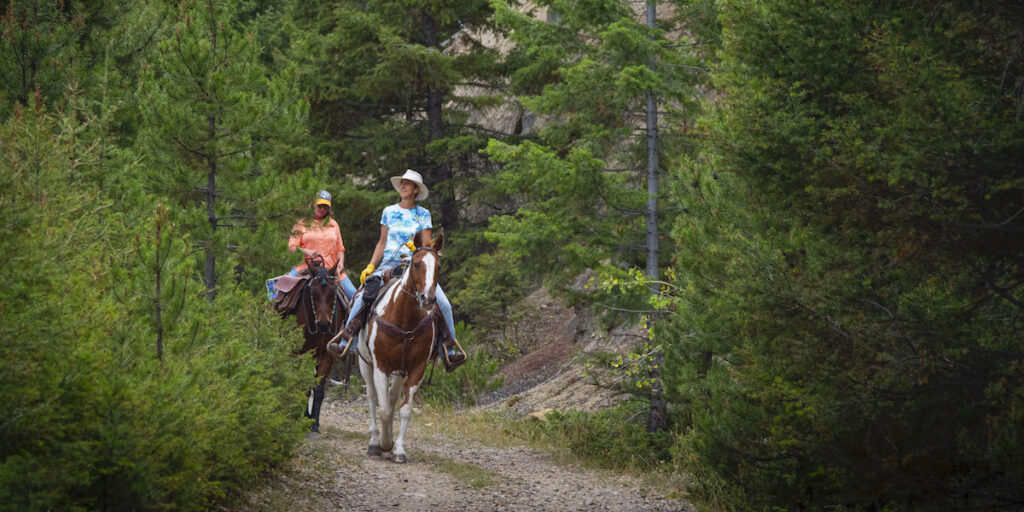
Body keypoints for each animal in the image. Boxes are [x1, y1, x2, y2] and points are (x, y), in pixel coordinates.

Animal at [288, 260, 352, 432]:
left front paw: (314, 423)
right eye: (313, 292)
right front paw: (304, 418)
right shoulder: (301, 353)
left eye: (333, 292)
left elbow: (318, 389)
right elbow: (303, 385)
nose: (324, 324)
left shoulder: (326, 354)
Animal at [356, 234, 444, 462]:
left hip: (398, 371)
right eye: (417, 263)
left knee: (393, 397)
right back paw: (374, 441)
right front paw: (384, 443)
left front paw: (398, 450)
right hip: (364, 363)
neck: (405, 320)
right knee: (372, 398)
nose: (427, 298)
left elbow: (403, 410)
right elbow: (384, 409)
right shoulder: (380, 366)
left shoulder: (416, 369)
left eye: (438, 266)